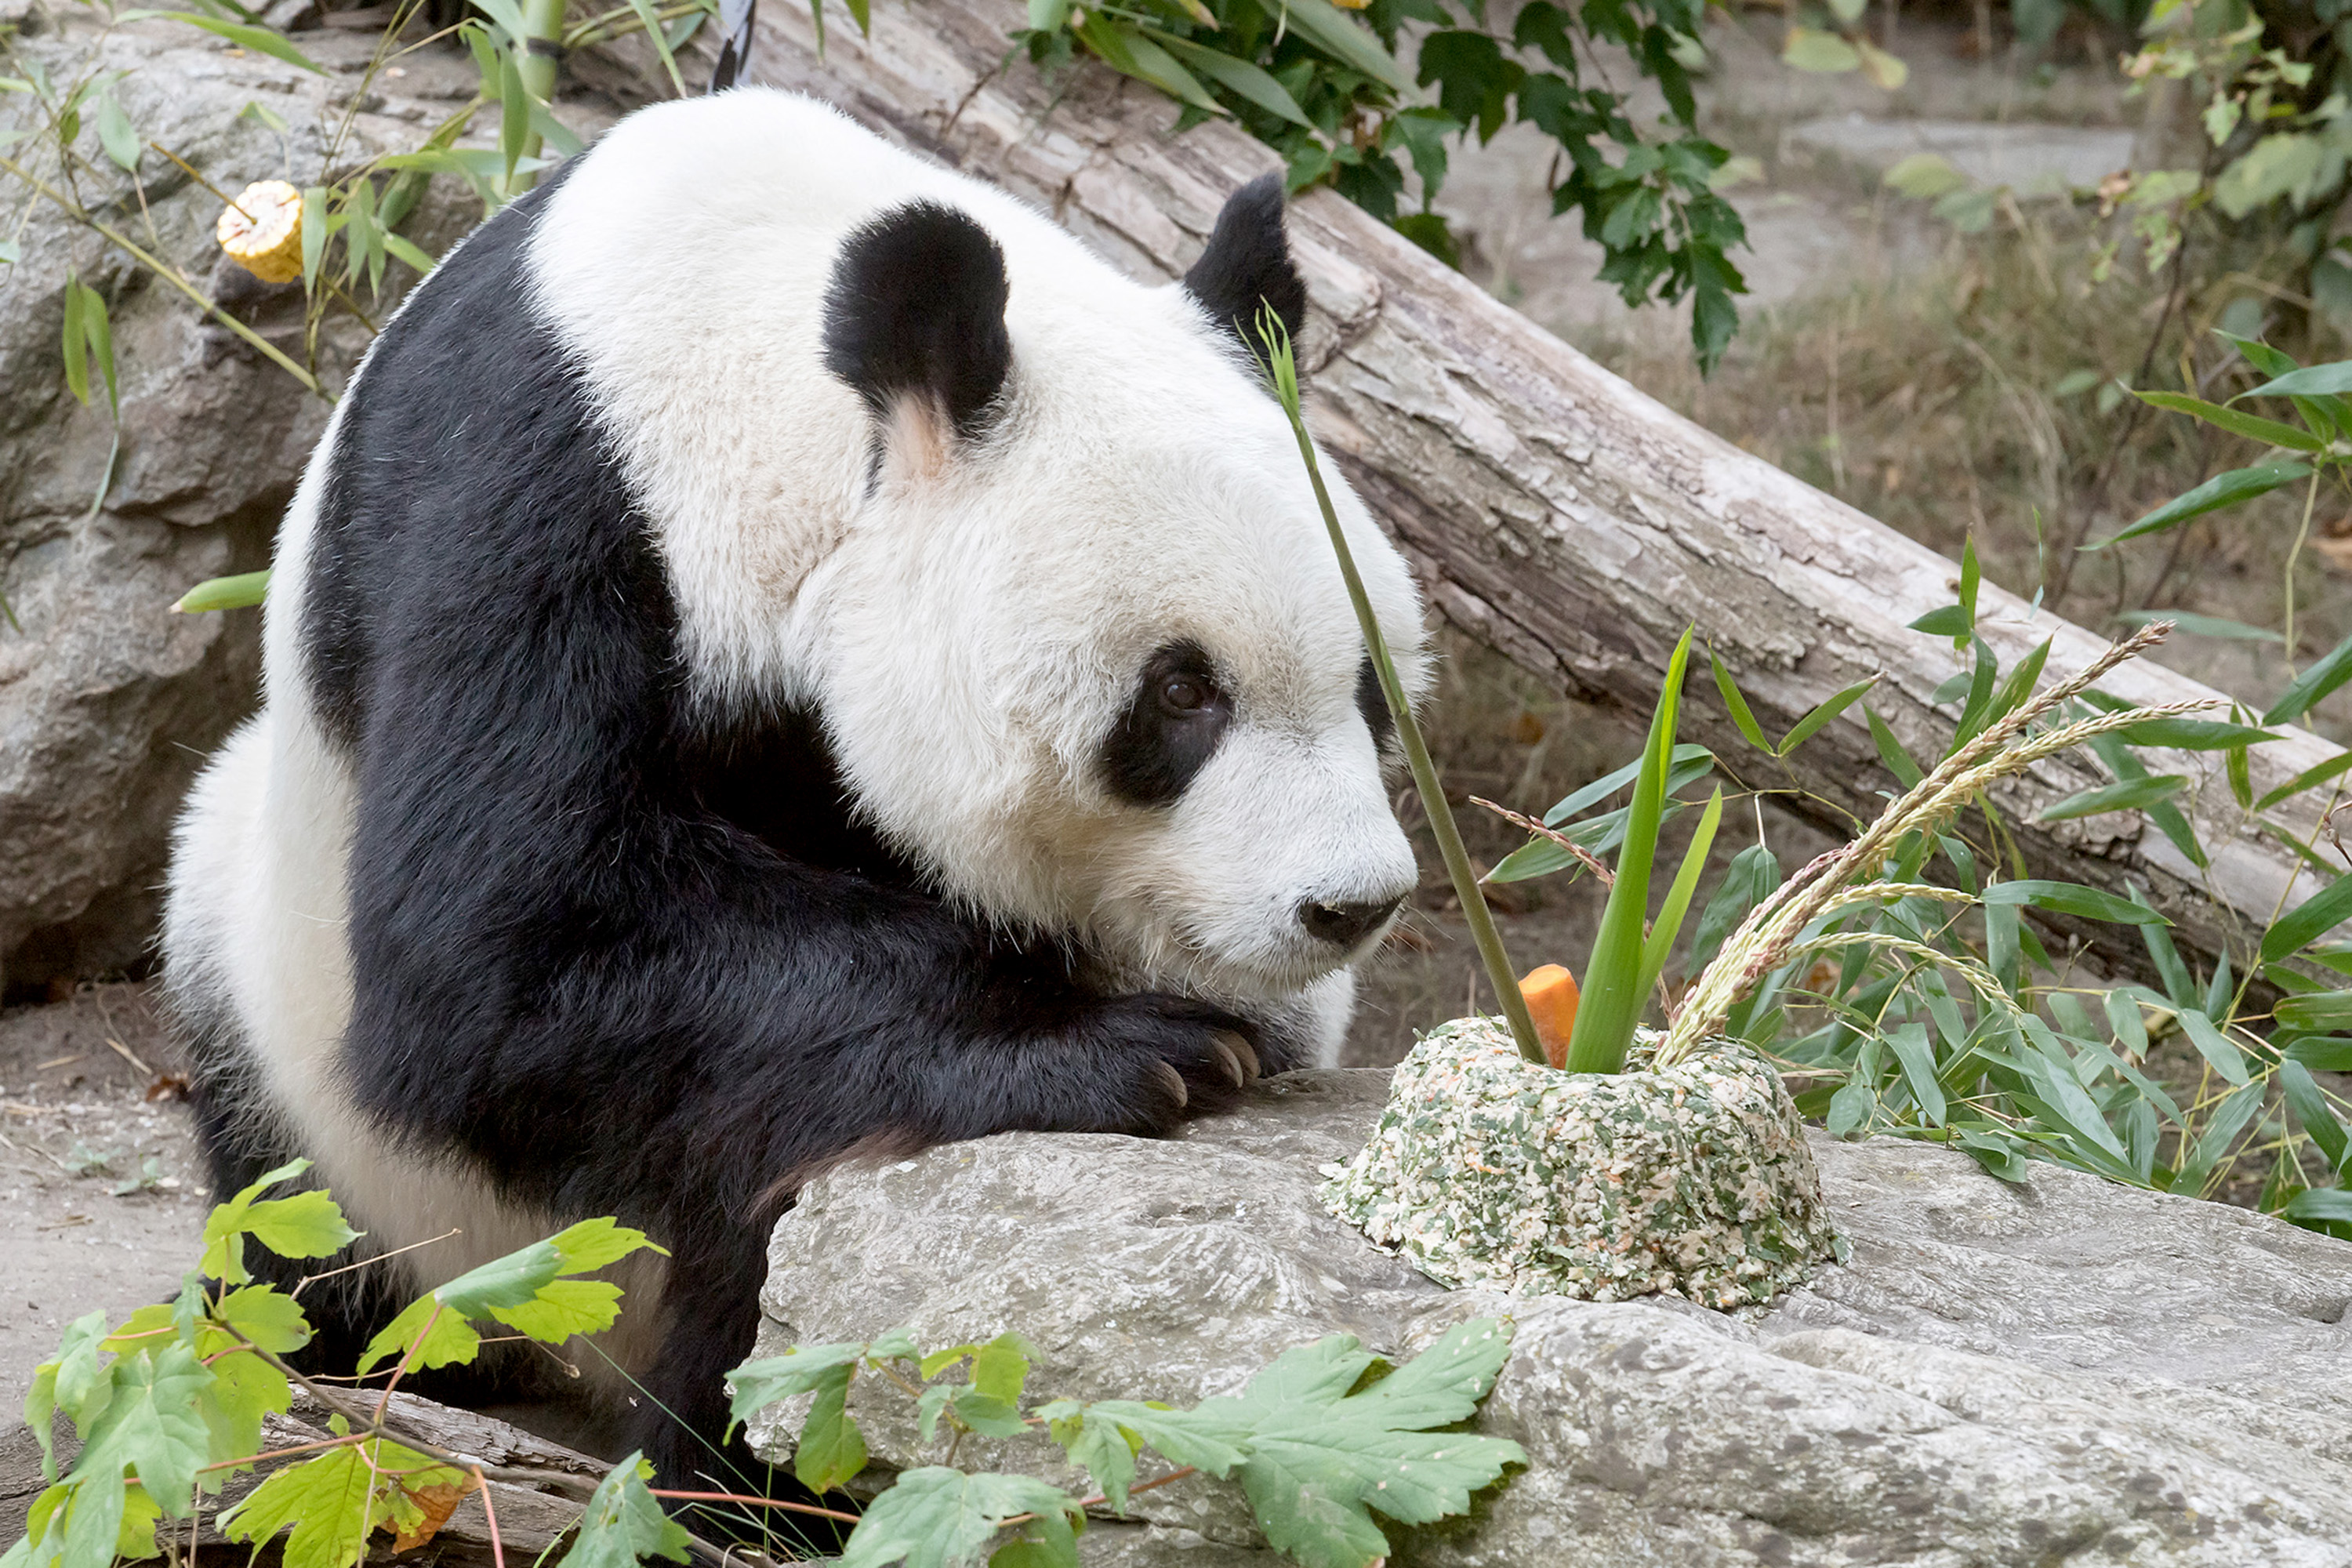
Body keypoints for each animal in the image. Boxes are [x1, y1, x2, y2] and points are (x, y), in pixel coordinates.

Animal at [165, 92, 1421, 1495]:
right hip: (316, 1067)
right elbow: (510, 952)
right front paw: (1125, 1050)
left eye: (1368, 686)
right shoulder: (538, 492)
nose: (1348, 907)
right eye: (1184, 694)